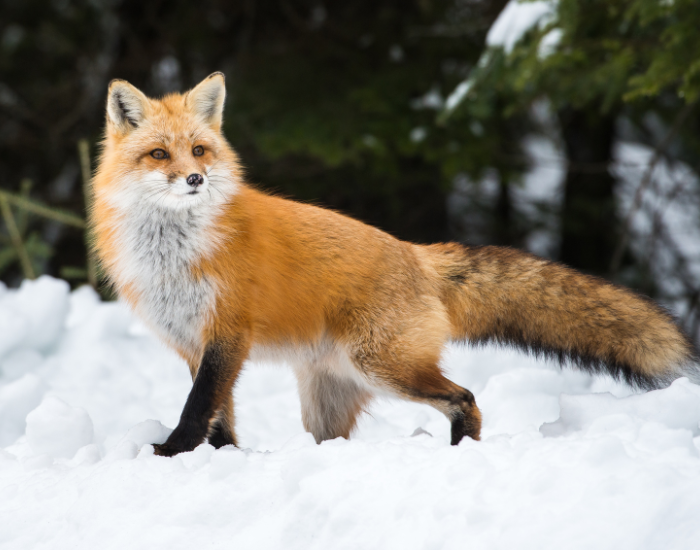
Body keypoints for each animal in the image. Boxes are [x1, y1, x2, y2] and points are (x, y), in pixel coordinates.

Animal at [92, 72, 699, 457]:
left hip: (384, 366)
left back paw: (461, 452)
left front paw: (172, 453)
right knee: (341, 438)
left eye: (198, 150)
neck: (174, 253)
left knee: (466, 399)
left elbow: (199, 408)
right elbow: (219, 417)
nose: (195, 178)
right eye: (159, 154)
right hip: (329, 398)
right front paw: (220, 458)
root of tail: (416, 253)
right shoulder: (193, 342)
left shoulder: (227, 335)